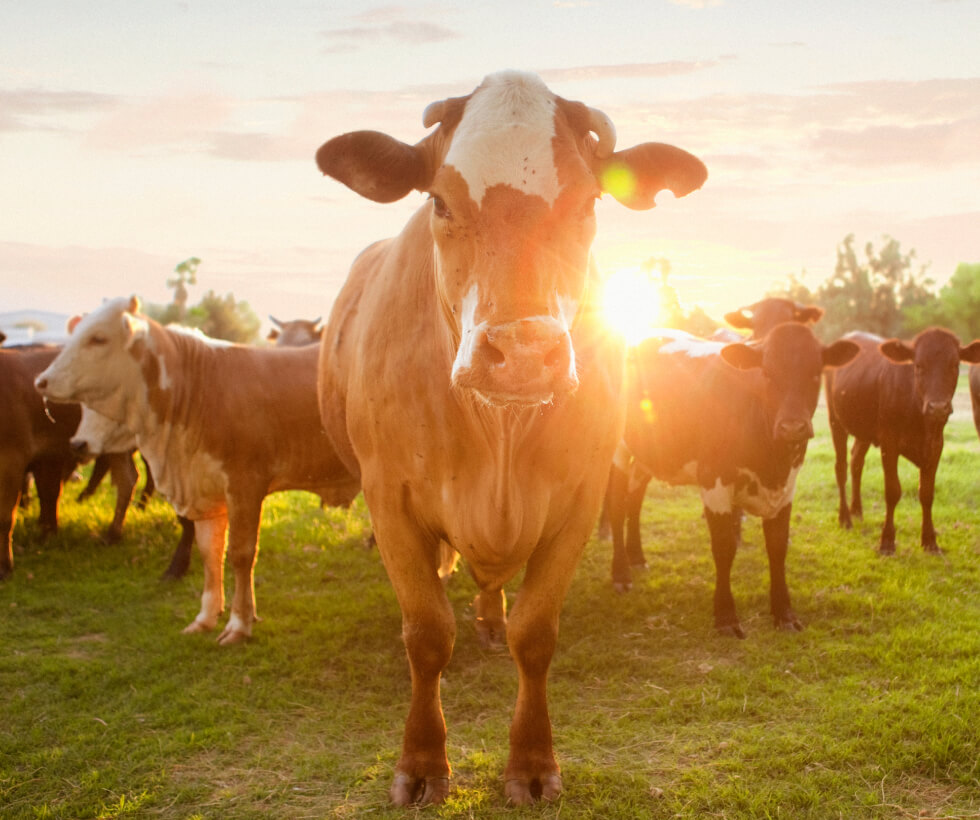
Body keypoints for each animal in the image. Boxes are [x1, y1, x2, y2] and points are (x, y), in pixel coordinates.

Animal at [314, 72, 704, 808]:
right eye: (440, 200)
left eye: (588, 203)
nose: (522, 353)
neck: (497, 437)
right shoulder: (389, 497)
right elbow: (426, 633)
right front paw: (422, 761)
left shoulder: (581, 498)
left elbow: (537, 634)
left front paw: (530, 762)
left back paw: (491, 619)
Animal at [604, 324, 856, 636]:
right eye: (767, 373)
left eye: (814, 373)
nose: (792, 427)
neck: (772, 460)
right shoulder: (714, 481)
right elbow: (724, 548)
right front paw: (725, 615)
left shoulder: (786, 487)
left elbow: (777, 547)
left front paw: (783, 612)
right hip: (618, 447)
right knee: (617, 504)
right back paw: (621, 573)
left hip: (649, 453)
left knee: (635, 501)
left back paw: (637, 557)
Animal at [828, 330, 980, 556]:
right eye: (918, 365)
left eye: (955, 364)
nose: (938, 407)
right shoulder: (889, 443)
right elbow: (892, 491)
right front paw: (887, 541)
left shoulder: (936, 445)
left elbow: (926, 493)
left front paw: (930, 541)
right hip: (836, 421)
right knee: (841, 468)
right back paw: (845, 518)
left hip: (864, 431)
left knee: (856, 462)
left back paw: (857, 510)